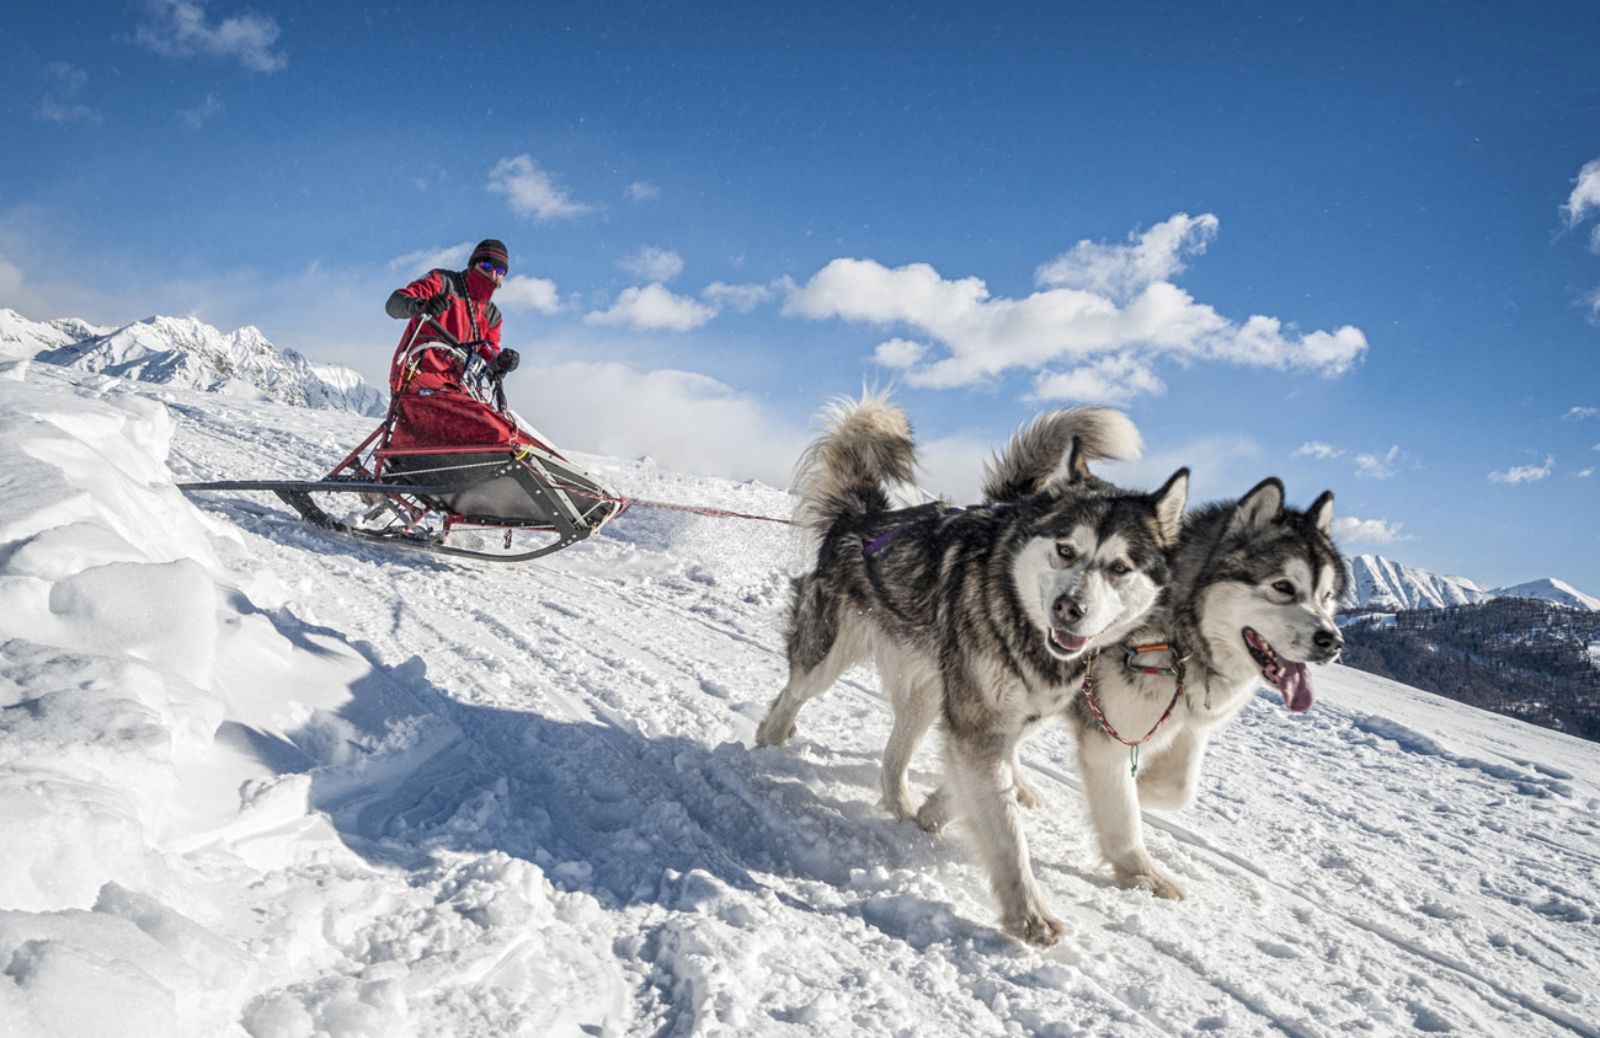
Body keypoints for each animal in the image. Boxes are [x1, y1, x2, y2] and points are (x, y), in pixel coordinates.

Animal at [752, 393, 1190, 940]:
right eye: (1065, 550)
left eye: (1120, 568)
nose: (1070, 608)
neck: (1020, 620)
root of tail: (861, 518)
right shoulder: (980, 727)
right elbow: (1006, 834)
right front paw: (1029, 914)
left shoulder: (1010, 721)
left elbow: (985, 791)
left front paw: (936, 813)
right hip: (828, 656)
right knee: (790, 695)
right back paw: (768, 745)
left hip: (924, 696)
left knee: (894, 757)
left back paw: (901, 806)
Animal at [1049, 476, 1350, 895]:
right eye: (1283, 586)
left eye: (1327, 596)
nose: (1332, 641)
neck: (1179, 635)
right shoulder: (1107, 737)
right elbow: (1123, 814)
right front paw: (1143, 874)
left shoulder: (1184, 723)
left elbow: (1177, 788)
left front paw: (1140, 791)